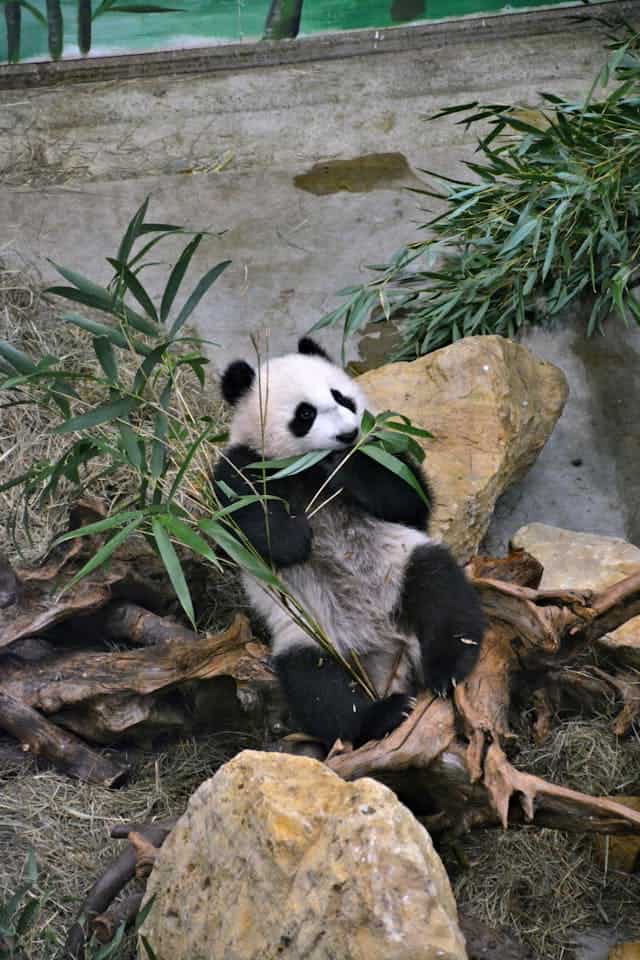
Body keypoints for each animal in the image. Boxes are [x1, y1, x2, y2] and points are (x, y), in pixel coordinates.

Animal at [215, 338, 484, 752]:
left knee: (442, 593)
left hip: (401, 565)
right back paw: (386, 714)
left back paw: (447, 668)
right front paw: (295, 538)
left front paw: (347, 464)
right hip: (309, 633)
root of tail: (384, 650)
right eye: (305, 414)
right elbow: (241, 520)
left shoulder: (383, 451)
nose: (347, 433)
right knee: (319, 688)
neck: (308, 469)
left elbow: (409, 497)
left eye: (341, 397)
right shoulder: (241, 466)